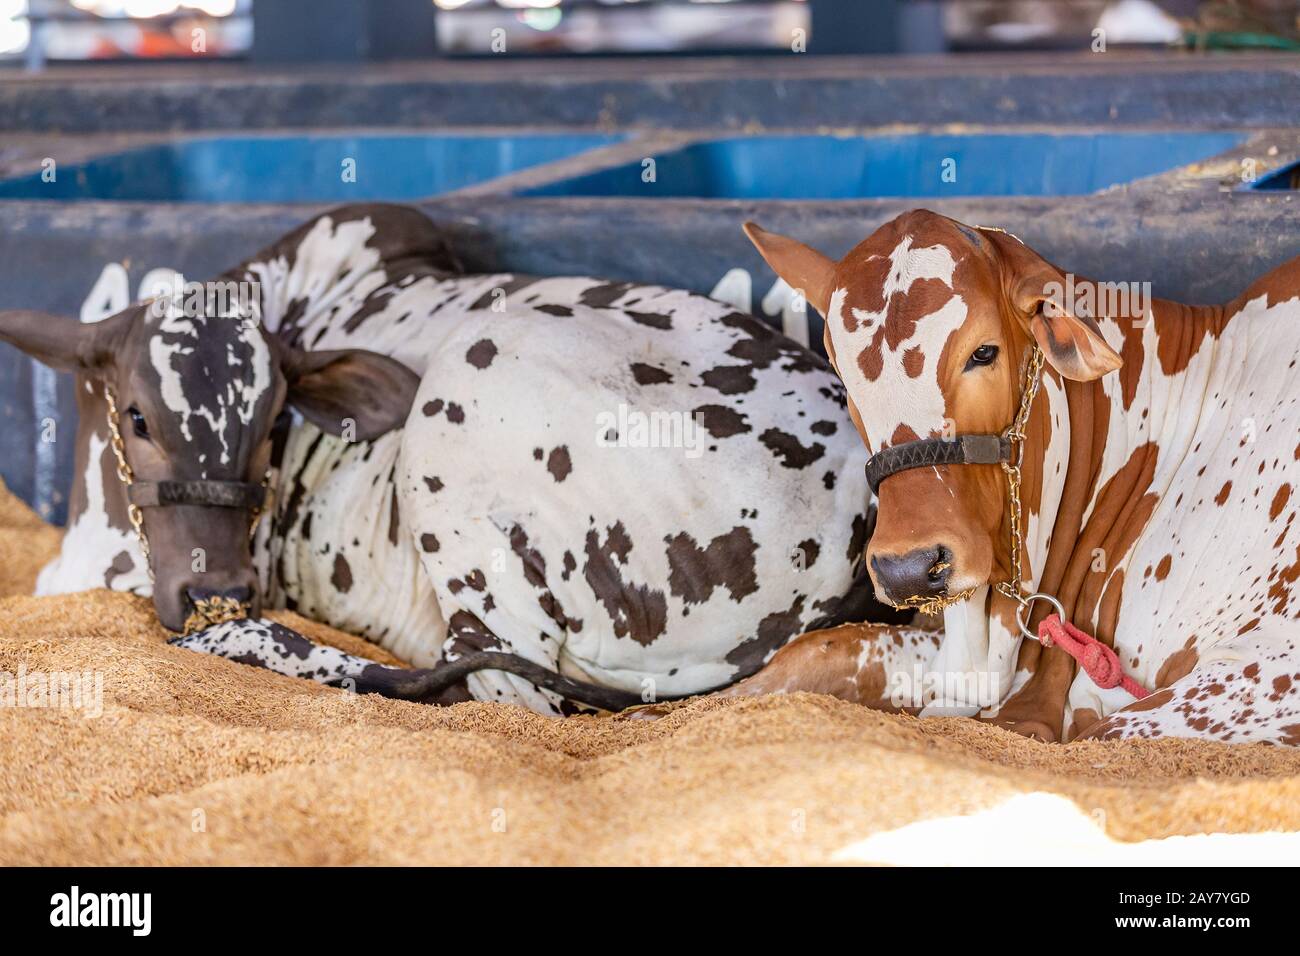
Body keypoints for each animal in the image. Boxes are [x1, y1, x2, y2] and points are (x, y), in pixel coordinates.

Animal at [707, 210, 1300, 749]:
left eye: (983, 352)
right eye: (846, 378)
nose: (908, 568)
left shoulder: (1270, 670)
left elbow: (1100, 731)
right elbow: (824, 649)